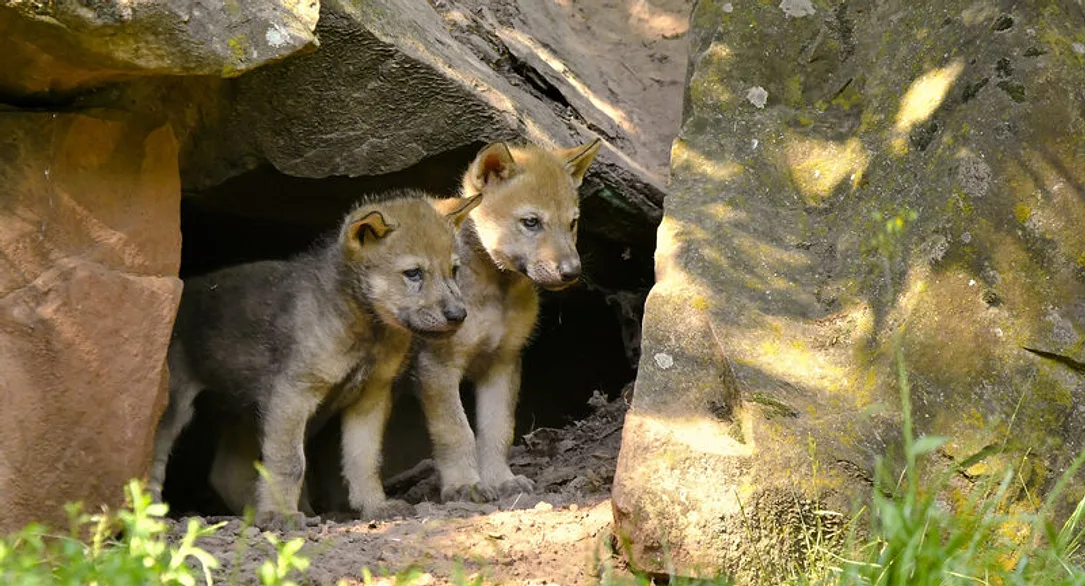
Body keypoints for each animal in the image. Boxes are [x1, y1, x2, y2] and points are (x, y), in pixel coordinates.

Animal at [148, 191, 482, 528]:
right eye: (413, 273)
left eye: (454, 270)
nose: (459, 315)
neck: (368, 330)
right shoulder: (293, 395)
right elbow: (290, 462)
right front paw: (280, 515)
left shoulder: (370, 398)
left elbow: (364, 460)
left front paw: (375, 506)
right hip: (176, 407)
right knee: (155, 458)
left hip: (245, 413)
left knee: (226, 472)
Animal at [414, 138, 602, 502]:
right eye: (531, 222)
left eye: (572, 222)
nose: (572, 272)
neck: (495, 292)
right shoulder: (437, 365)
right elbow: (455, 430)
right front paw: (464, 484)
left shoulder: (503, 360)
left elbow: (497, 429)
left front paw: (501, 479)